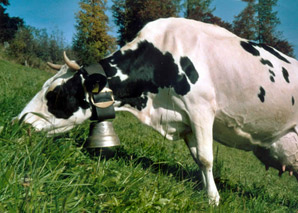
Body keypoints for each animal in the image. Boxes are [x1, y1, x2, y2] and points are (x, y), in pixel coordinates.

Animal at [18, 17, 298, 205]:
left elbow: (207, 158)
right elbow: (198, 158)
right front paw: (205, 190)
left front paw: (213, 199)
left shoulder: (201, 109)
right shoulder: (184, 119)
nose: (20, 122)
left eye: (55, 93)